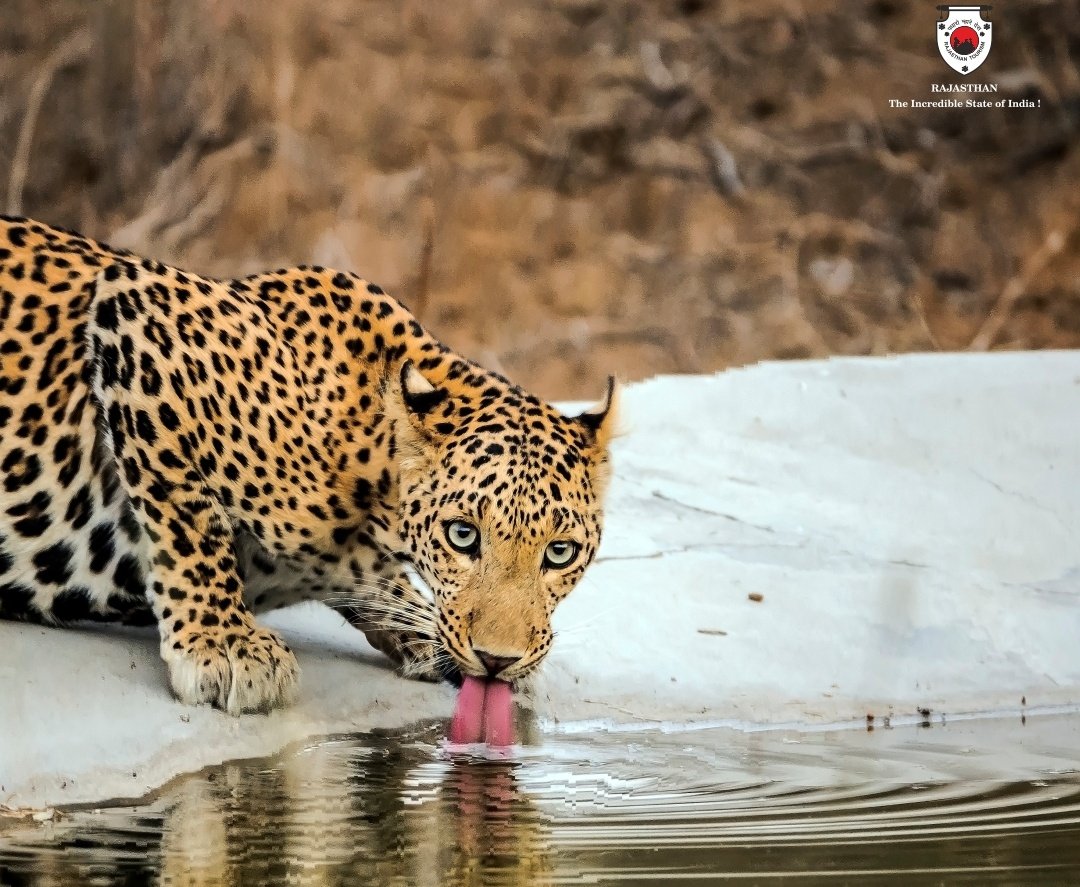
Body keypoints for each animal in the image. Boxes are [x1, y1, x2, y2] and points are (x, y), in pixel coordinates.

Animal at [0, 214, 617, 713]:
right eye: (462, 536)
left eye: (559, 553)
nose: (496, 660)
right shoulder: (144, 306)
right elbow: (190, 515)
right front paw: (223, 642)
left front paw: (431, 636)